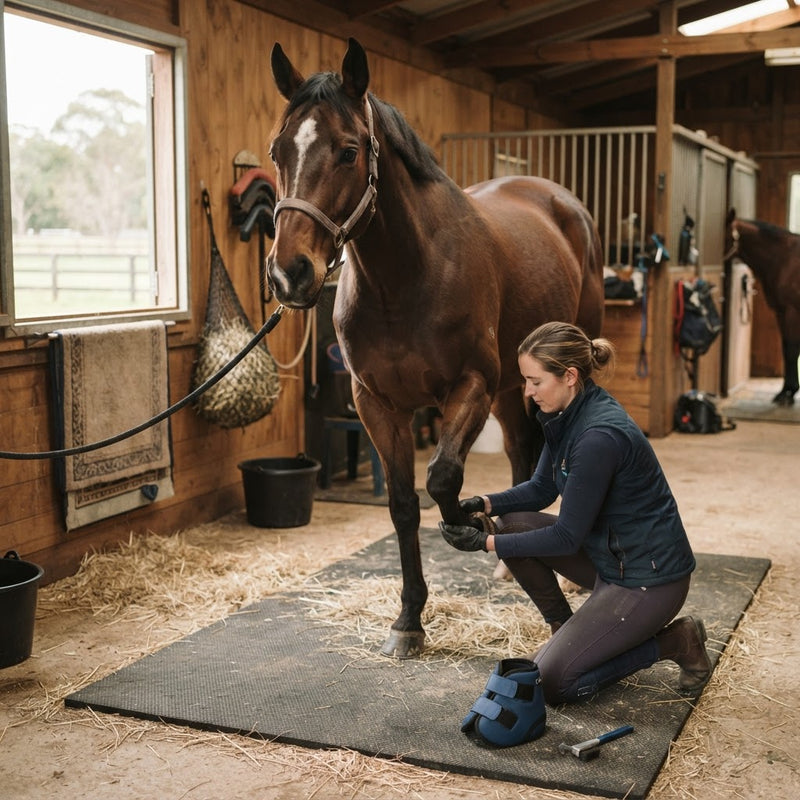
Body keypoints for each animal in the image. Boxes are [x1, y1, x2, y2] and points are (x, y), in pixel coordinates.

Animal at [267, 38, 605, 658]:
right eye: (279, 151)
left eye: (349, 152)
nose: (289, 273)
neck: (404, 278)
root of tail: (558, 199)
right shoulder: (376, 402)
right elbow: (403, 504)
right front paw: (408, 620)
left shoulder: (468, 386)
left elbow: (444, 477)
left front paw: (469, 524)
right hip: (510, 386)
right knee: (520, 451)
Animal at [725, 209, 800, 405]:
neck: (783, 258)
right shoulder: (781, 312)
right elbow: (785, 349)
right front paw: (786, 391)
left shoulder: (792, 312)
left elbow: (791, 350)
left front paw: (787, 394)